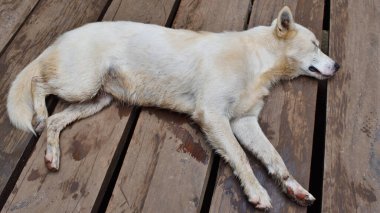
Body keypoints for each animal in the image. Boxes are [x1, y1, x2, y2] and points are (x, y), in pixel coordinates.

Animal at [5, 6, 338, 210]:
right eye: (314, 44)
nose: (337, 65)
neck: (258, 62)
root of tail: (64, 37)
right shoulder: (213, 115)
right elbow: (242, 157)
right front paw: (257, 192)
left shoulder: (244, 121)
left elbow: (275, 158)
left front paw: (294, 188)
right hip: (81, 84)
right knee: (37, 83)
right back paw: (39, 113)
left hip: (96, 99)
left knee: (55, 121)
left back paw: (52, 155)